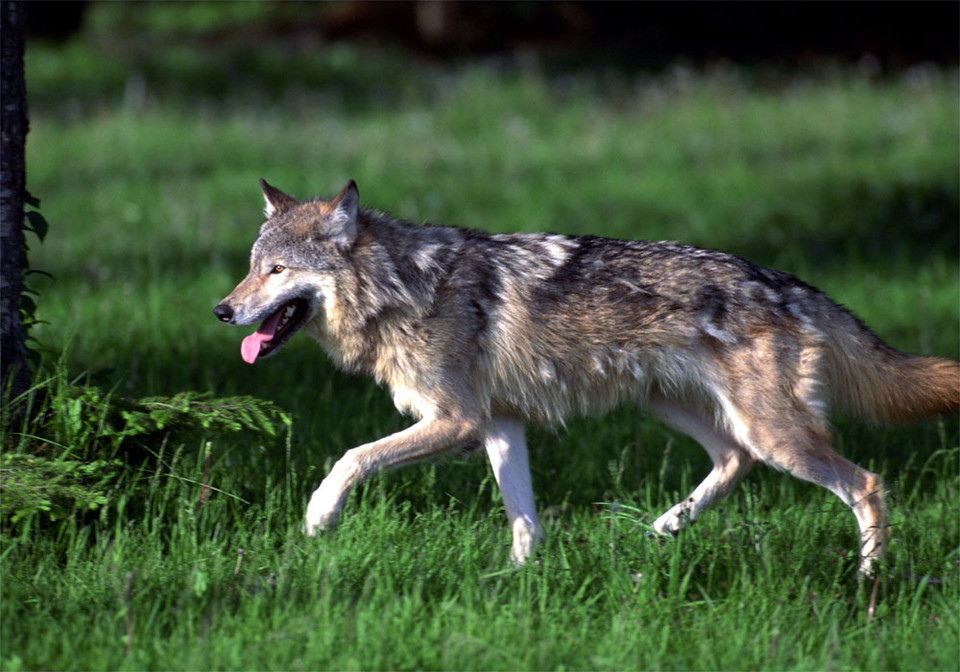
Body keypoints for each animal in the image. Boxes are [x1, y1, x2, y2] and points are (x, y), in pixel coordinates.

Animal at [214, 178, 956, 572]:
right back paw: (666, 527)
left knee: (866, 484)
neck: (404, 287)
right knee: (734, 460)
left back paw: (867, 582)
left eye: (275, 271)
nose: (223, 310)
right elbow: (525, 521)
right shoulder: (499, 425)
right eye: (251, 267)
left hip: (776, 436)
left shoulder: (456, 422)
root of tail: (787, 282)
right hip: (677, 410)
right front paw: (515, 582)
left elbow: (351, 457)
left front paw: (319, 516)